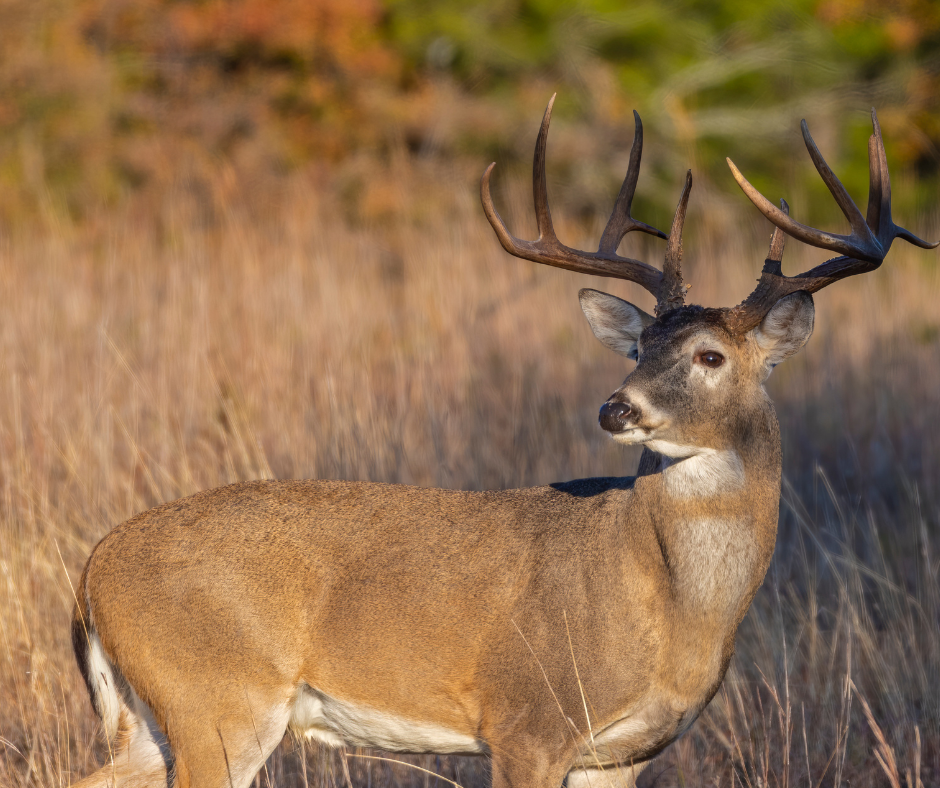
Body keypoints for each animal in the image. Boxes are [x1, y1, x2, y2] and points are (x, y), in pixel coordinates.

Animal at [70, 96, 936, 788]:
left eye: (709, 356)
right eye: (639, 345)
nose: (615, 408)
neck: (665, 602)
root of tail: (90, 574)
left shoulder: (619, 755)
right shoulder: (526, 722)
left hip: (161, 720)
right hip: (218, 699)